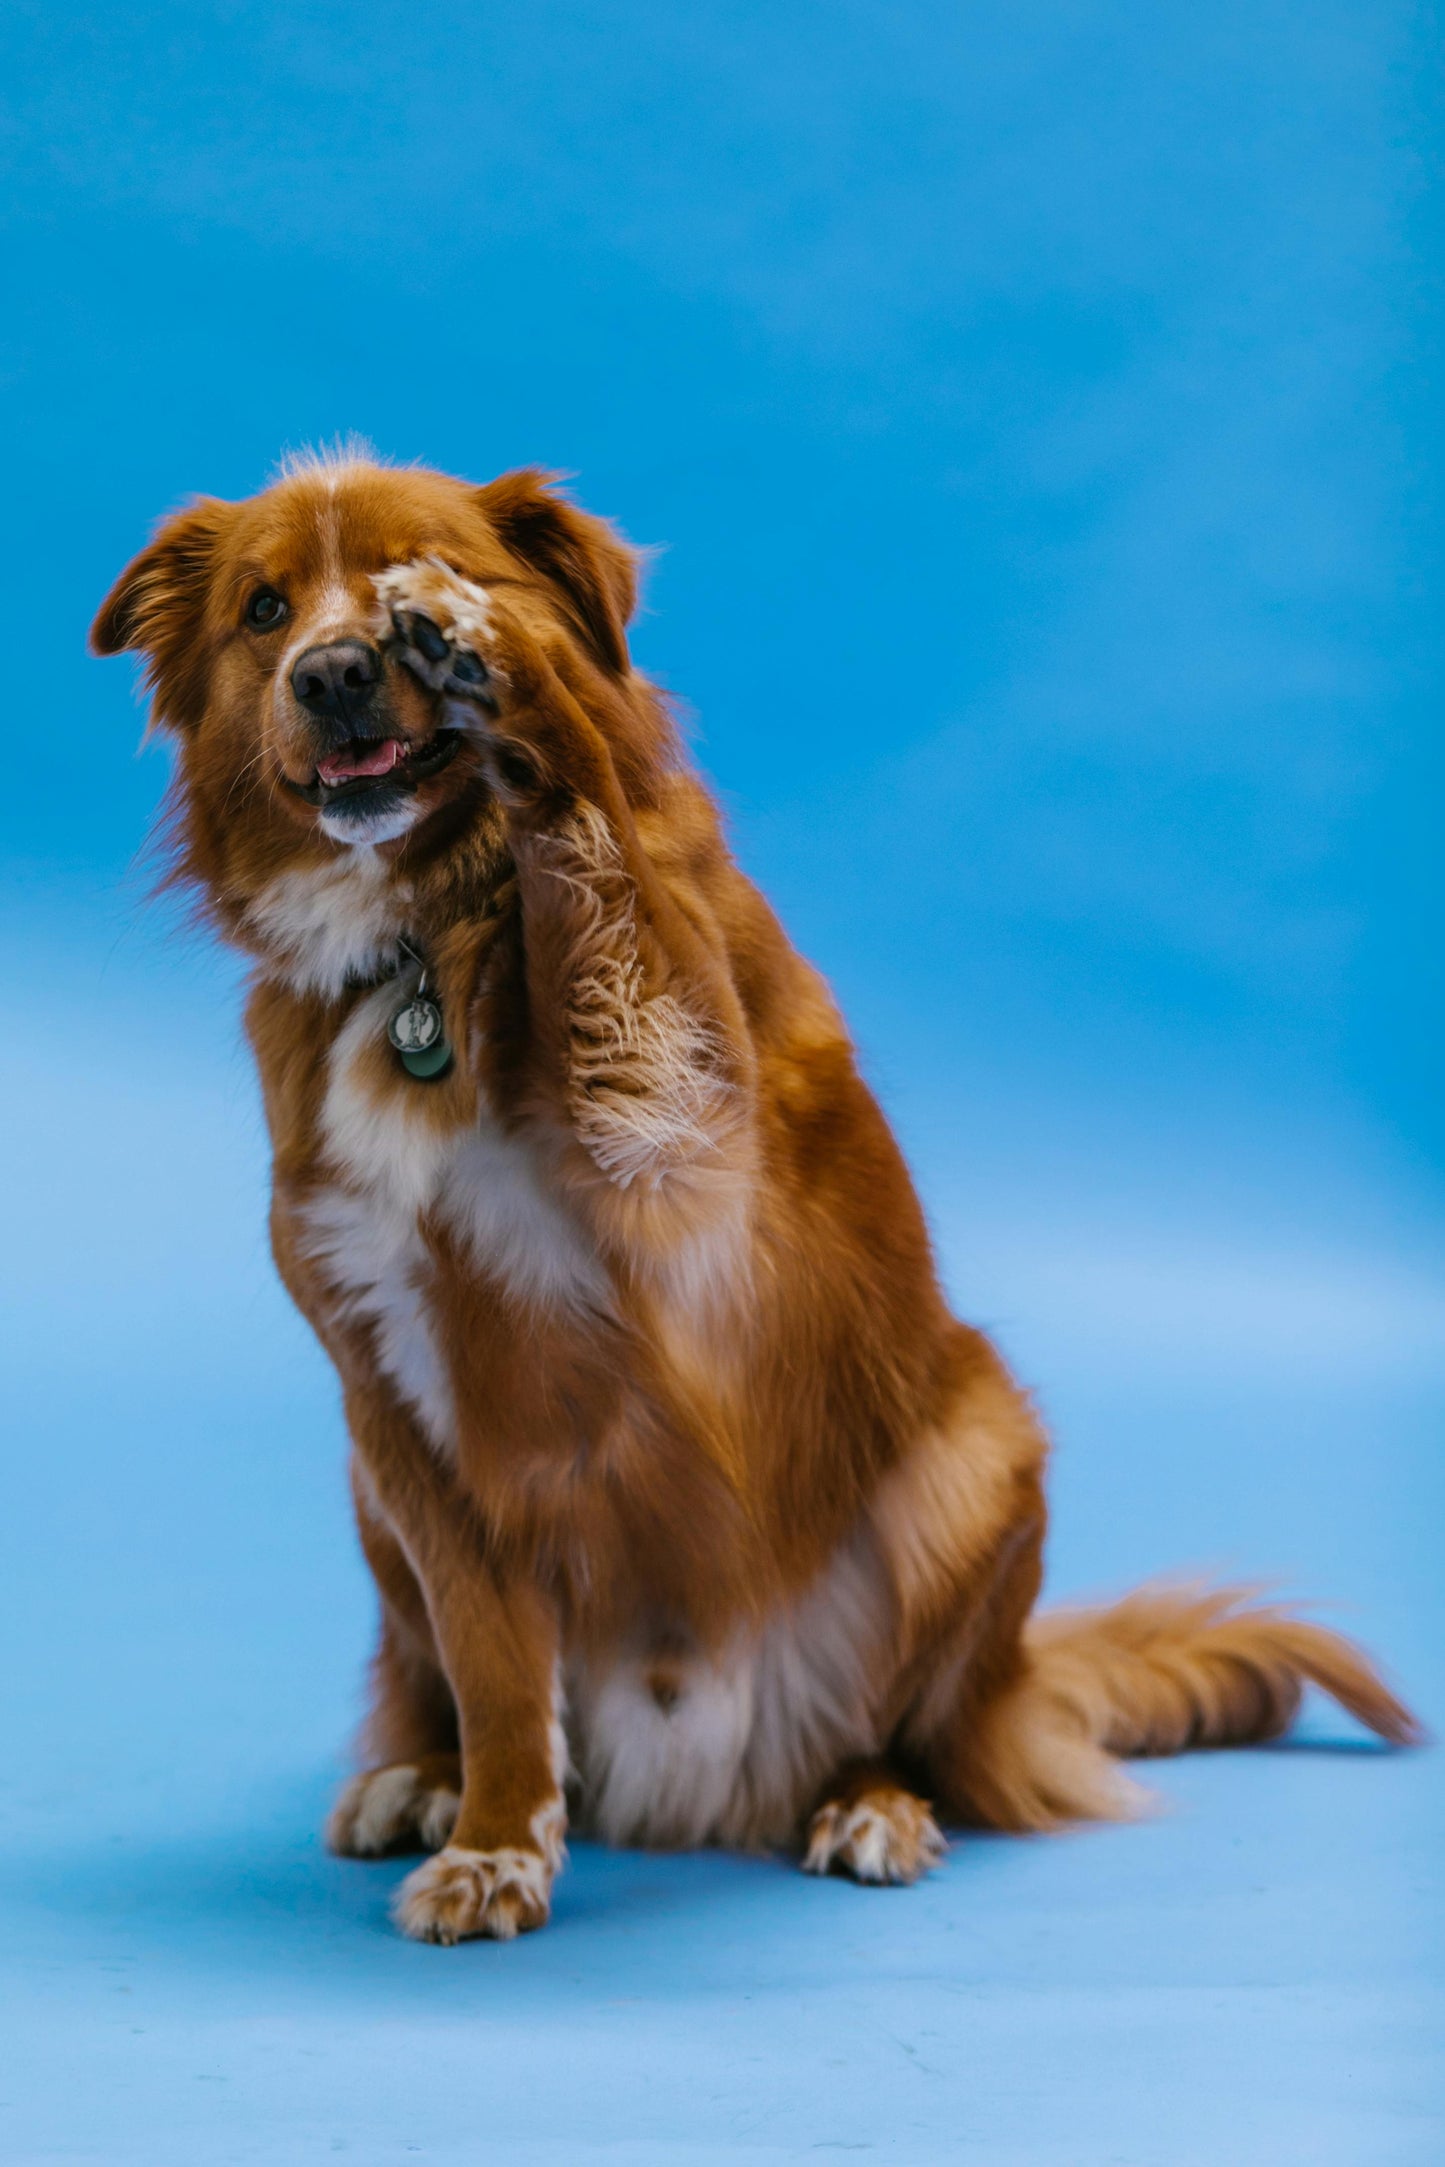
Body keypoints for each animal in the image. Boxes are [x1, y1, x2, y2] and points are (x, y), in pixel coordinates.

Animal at [93, 448, 1421, 1941]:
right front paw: (496, 1835)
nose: (330, 671)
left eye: (412, 570)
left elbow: (608, 893)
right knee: (443, 1676)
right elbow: (493, 1666)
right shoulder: (397, 1394)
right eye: (264, 610)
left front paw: (513, 677)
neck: (432, 933)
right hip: (375, 1503)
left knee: (910, 1729)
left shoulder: (683, 1159)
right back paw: (418, 1775)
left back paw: (870, 1799)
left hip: (976, 1453)